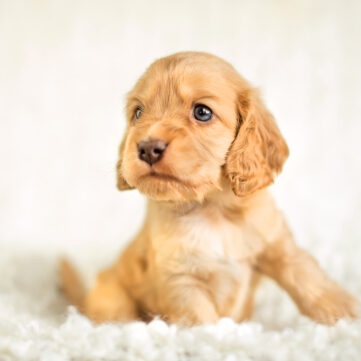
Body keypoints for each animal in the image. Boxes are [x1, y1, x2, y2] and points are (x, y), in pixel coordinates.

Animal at [59, 50, 358, 324]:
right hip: (111, 296)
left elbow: (306, 276)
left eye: (202, 112)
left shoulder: (277, 243)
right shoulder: (180, 281)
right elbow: (203, 322)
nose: (147, 148)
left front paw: (343, 312)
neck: (214, 209)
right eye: (138, 113)